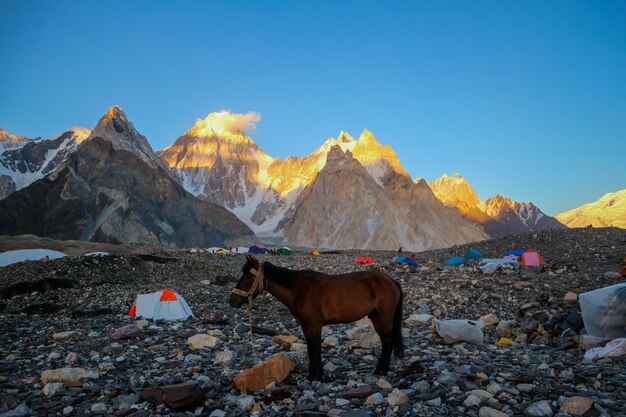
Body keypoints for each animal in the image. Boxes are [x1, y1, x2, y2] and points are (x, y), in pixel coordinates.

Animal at [229, 254, 404, 380]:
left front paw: (319, 375)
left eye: (247, 276)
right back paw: (379, 369)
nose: (231, 300)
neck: (299, 290)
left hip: (385, 316)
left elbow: (317, 350)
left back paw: (383, 370)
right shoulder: (305, 326)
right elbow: (310, 350)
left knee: (389, 340)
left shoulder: (315, 324)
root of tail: (391, 281)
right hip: (375, 317)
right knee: (384, 341)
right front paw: (311, 375)